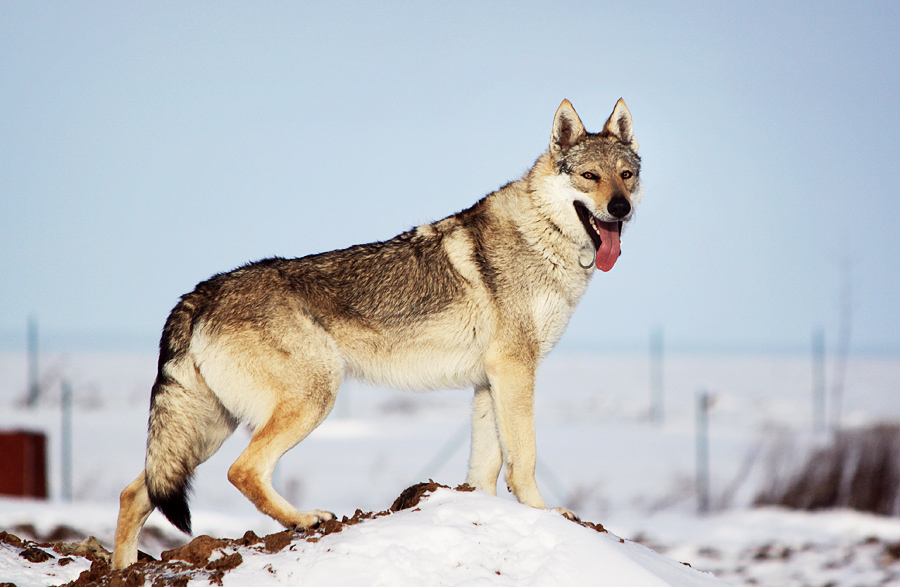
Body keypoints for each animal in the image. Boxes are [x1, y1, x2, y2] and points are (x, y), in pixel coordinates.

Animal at [112, 97, 644, 568]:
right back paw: (305, 520)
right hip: (307, 401)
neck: (544, 239)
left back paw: (122, 570)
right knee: (242, 471)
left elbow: (486, 467)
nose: (620, 208)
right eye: (589, 177)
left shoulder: (489, 380)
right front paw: (543, 513)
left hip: (206, 432)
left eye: (626, 175)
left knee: (135, 492)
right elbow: (524, 457)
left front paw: (483, 512)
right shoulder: (515, 370)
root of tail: (201, 291)